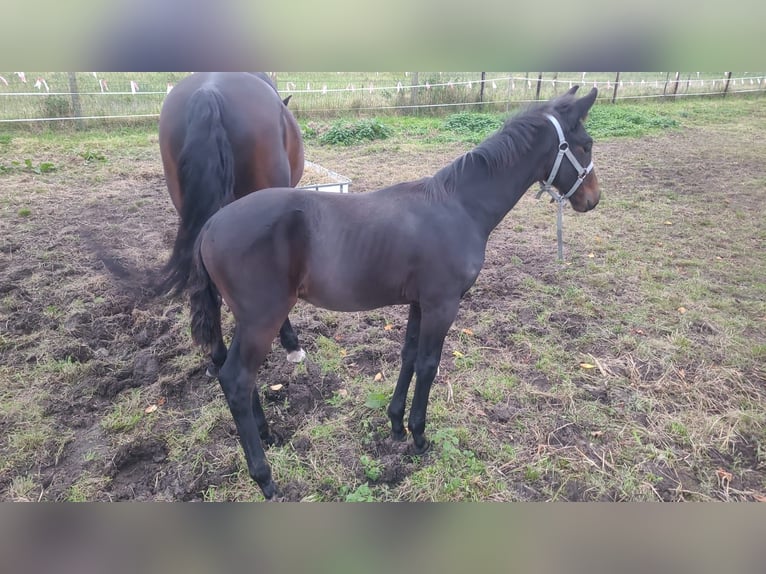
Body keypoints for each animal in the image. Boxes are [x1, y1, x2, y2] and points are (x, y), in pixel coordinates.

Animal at [189, 85, 604, 500]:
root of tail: (210, 225)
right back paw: (264, 477)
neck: (459, 206)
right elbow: (428, 365)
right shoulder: (442, 305)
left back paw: (268, 434)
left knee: (238, 376)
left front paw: (396, 425)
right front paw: (419, 437)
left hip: (248, 319)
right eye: (585, 144)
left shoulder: (420, 304)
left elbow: (408, 357)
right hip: (264, 318)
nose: (592, 199)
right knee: (237, 380)